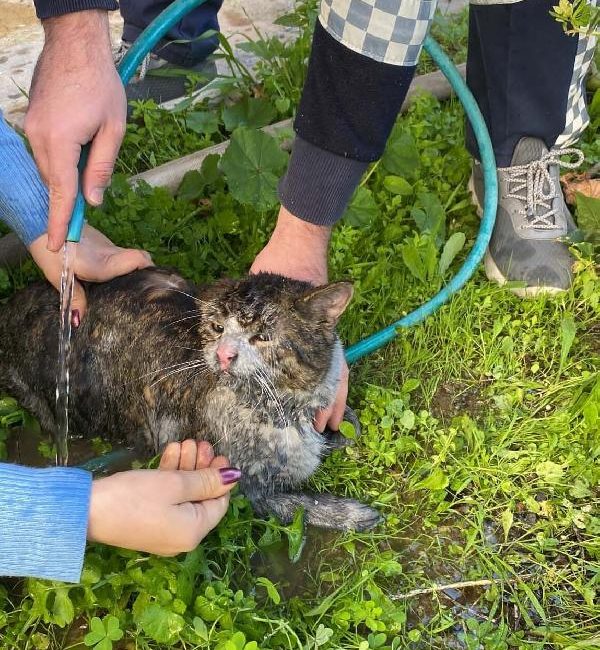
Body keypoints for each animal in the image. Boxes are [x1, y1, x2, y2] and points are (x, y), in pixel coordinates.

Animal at [0, 266, 382, 528]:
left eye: (262, 337)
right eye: (217, 328)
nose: (224, 354)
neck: (283, 406)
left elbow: (349, 428)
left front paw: (341, 428)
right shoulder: (251, 490)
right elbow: (302, 505)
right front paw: (355, 514)